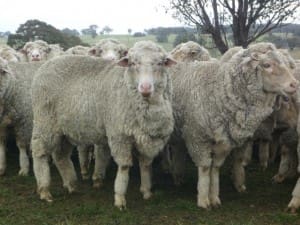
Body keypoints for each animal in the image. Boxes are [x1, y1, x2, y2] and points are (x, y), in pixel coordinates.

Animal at [29, 40, 176, 209]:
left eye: (160, 63)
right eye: (132, 63)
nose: (145, 88)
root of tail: (46, 65)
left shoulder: (146, 136)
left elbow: (145, 164)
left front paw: (146, 191)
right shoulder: (119, 135)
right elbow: (124, 166)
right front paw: (120, 198)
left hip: (64, 129)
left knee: (60, 155)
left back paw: (71, 185)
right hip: (45, 121)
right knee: (39, 152)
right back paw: (44, 189)